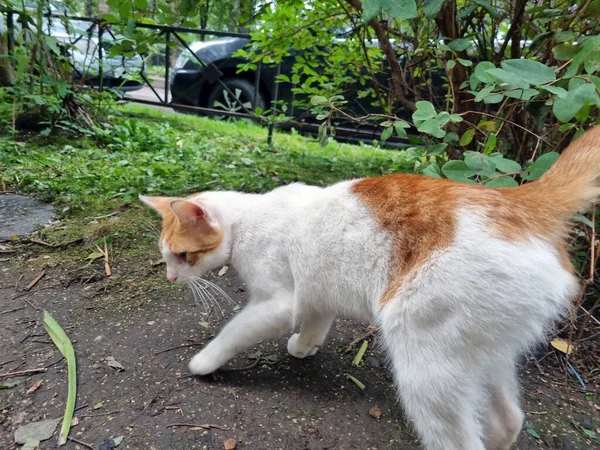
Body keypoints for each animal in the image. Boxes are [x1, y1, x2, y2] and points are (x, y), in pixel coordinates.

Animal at [142, 125, 600, 450]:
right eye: (166, 256)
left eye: (182, 256)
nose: (169, 278)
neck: (247, 220)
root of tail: (520, 201)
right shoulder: (317, 291)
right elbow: (315, 323)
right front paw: (303, 347)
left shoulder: (276, 303)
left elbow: (233, 332)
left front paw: (203, 363)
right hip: (481, 350)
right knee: (508, 421)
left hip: (424, 354)